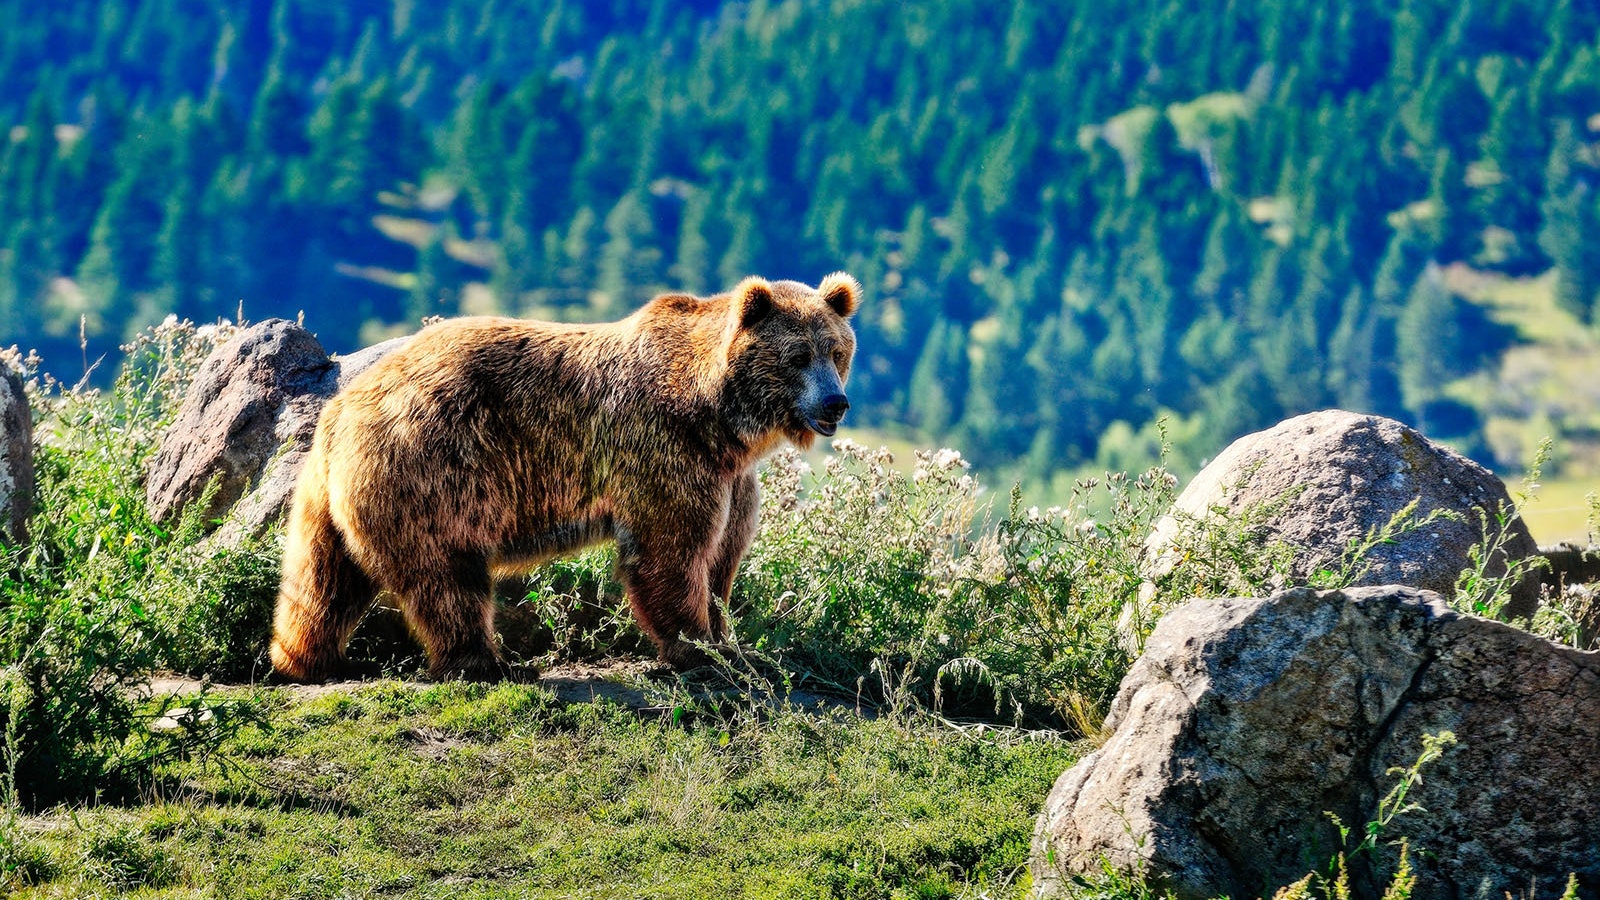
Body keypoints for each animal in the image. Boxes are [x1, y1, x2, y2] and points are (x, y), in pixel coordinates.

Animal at [269, 273, 861, 681]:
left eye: (837, 351)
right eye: (797, 356)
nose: (835, 403)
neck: (717, 416)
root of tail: (341, 407)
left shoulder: (730, 478)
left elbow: (722, 557)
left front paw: (730, 640)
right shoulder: (663, 450)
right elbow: (670, 552)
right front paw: (698, 648)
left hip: (340, 498)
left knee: (324, 580)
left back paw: (305, 659)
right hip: (434, 469)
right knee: (449, 576)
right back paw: (487, 662)